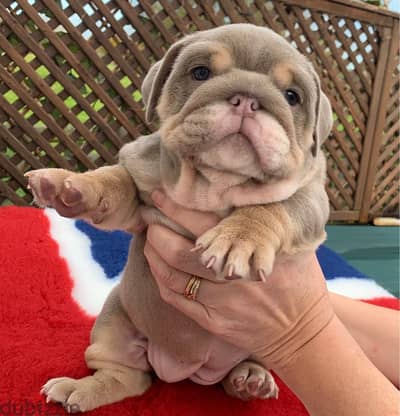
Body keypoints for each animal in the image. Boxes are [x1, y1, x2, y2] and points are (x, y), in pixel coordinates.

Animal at [25, 25, 332, 412]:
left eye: (292, 96)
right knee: (127, 377)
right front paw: (74, 185)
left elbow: (275, 207)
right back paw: (79, 389)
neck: (215, 183)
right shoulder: (139, 187)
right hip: (114, 321)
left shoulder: (312, 199)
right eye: (200, 72)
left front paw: (240, 238)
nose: (247, 99)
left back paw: (251, 378)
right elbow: (115, 180)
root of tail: (187, 369)